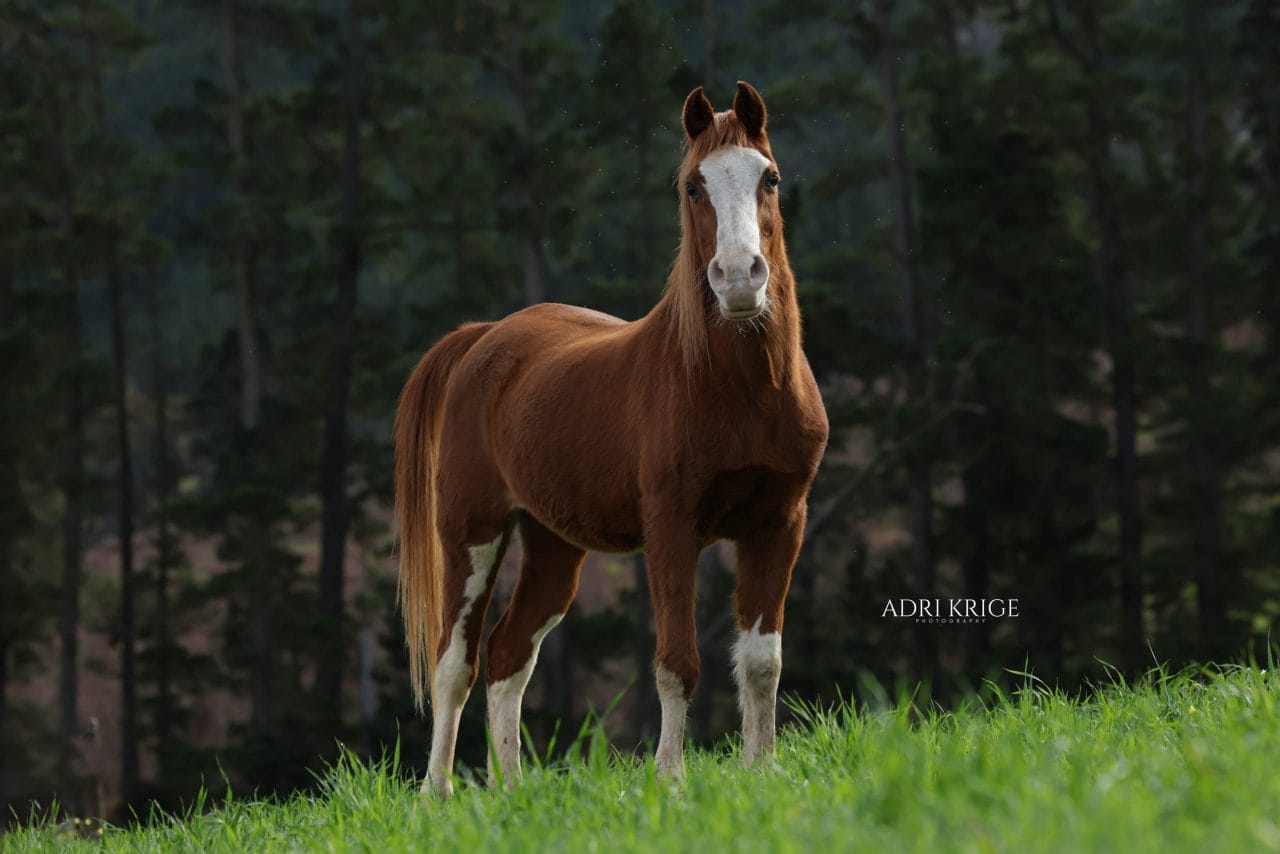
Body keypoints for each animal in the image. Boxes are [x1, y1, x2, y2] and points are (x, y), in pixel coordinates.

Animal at [394, 81, 829, 798]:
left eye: (769, 177)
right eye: (692, 186)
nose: (741, 278)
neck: (740, 394)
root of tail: (482, 339)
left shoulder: (780, 521)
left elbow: (762, 659)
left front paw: (763, 772)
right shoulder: (671, 527)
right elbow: (677, 660)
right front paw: (671, 779)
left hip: (553, 546)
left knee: (508, 655)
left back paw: (514, 793)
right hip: (472, 533)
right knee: (454, 662)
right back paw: (438, 794)